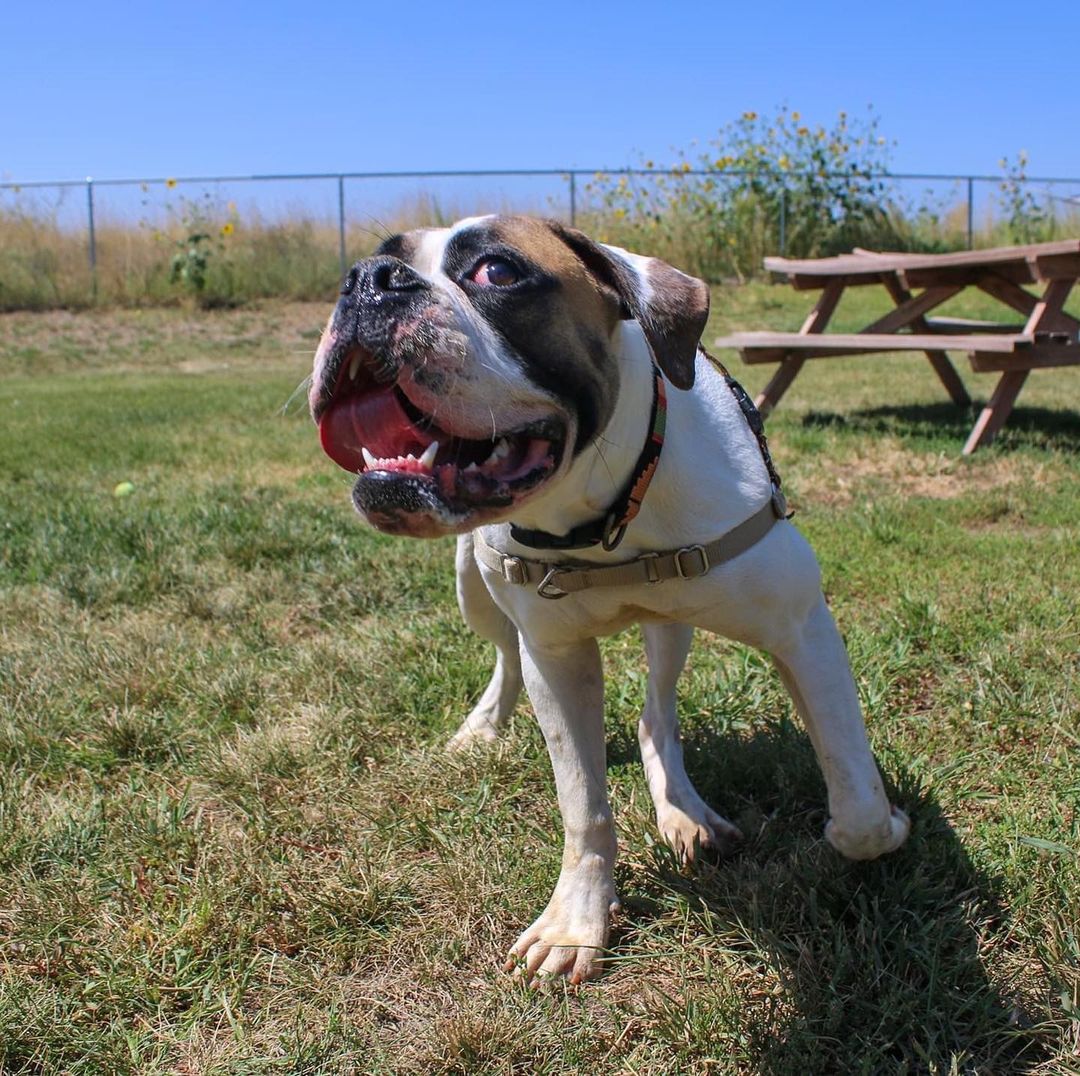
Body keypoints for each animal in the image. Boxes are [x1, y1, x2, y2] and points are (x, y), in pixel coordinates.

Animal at [308, 216, 907, 985]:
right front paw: (577, 921)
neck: (601, 517)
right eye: (382, 259)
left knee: (657, 713)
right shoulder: (557, 659)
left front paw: (881, 826)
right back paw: (484, 726)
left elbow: (857, 803)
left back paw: (685, 813)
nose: (368, 279)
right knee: (505, 656)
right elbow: (583, 806)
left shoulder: (803, 631)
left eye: (497, 272)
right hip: (475, 585)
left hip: (672, 623)